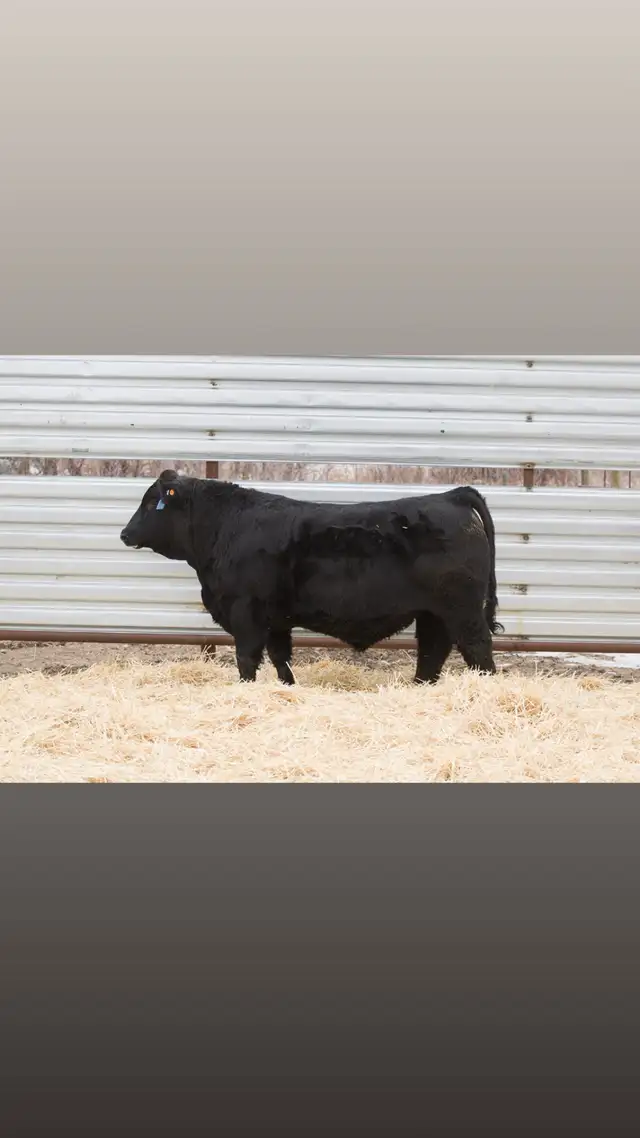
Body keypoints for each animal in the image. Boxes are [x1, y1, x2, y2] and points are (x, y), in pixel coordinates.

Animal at [120, 470, 502, 685]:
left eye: (152, 502)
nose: (124, 533)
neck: (225, 528)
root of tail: (452, 495)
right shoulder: (275, 620)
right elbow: (281, 658)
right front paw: (287, 688)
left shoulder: (246, 612)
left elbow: (247, 658)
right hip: (433, 613)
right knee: (432, 651)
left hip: (462, 610)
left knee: (477, 648)